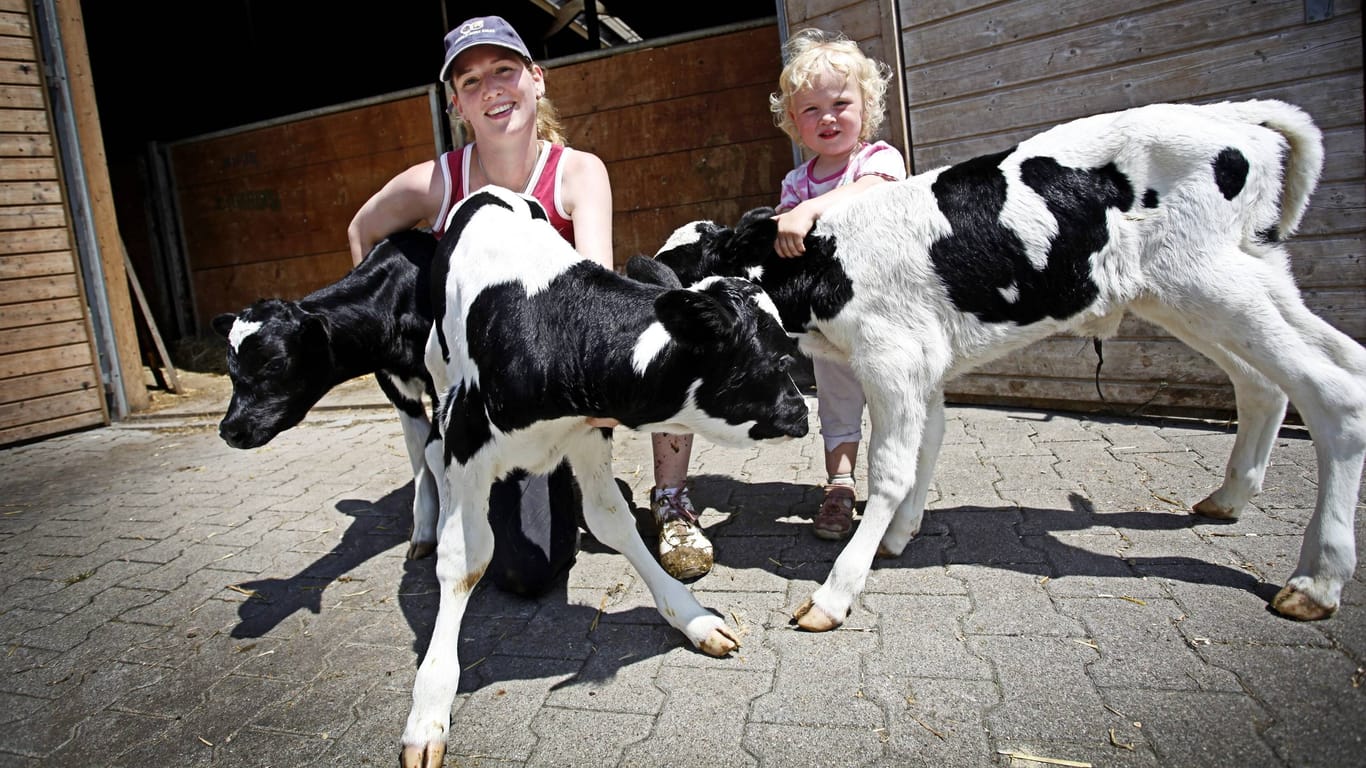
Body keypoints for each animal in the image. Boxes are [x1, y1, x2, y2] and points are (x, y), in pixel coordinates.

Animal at [401, 185, 808, 765]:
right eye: (779, 360)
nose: (803, 414)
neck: (556, 334)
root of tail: (489, 192)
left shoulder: (588, 435)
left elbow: (612, 521)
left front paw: (694, 619)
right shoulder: (467, 439)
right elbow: (465, 561)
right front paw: (429, 710)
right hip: (438, 366)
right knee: (430, 446)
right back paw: (427, 525)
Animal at [647, 100, 1355, 628]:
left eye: (675, 267)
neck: (821, 261)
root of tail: (1229, 116)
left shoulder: (893, 359)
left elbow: (891, 470)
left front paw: (836, 592)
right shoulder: (922, 366)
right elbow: (927, 447)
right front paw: (899, 537)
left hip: (1203, 278)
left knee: (1334, 388)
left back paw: (1316, 582)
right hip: (1218, 282)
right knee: (1285, 375)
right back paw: (1229, 499)